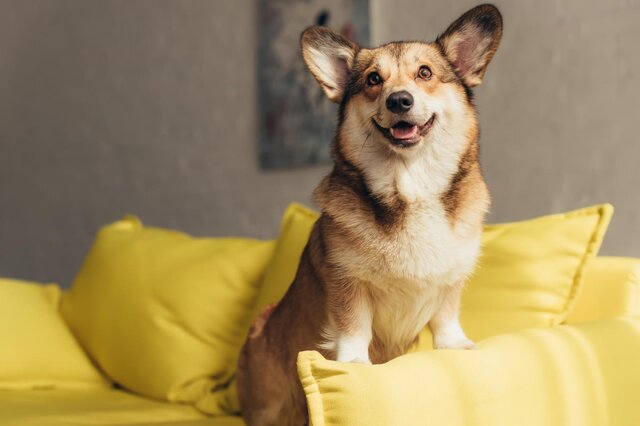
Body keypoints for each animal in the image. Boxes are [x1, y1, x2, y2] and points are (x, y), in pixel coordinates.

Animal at [238, 4, 502, 426]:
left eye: (425, 73)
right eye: (373, 80)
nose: (399, 101)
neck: (410, 186)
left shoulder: (452, 278)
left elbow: (446, 315)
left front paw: (455, 345)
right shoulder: (347, 282)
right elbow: (354, 327)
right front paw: (354, 363)